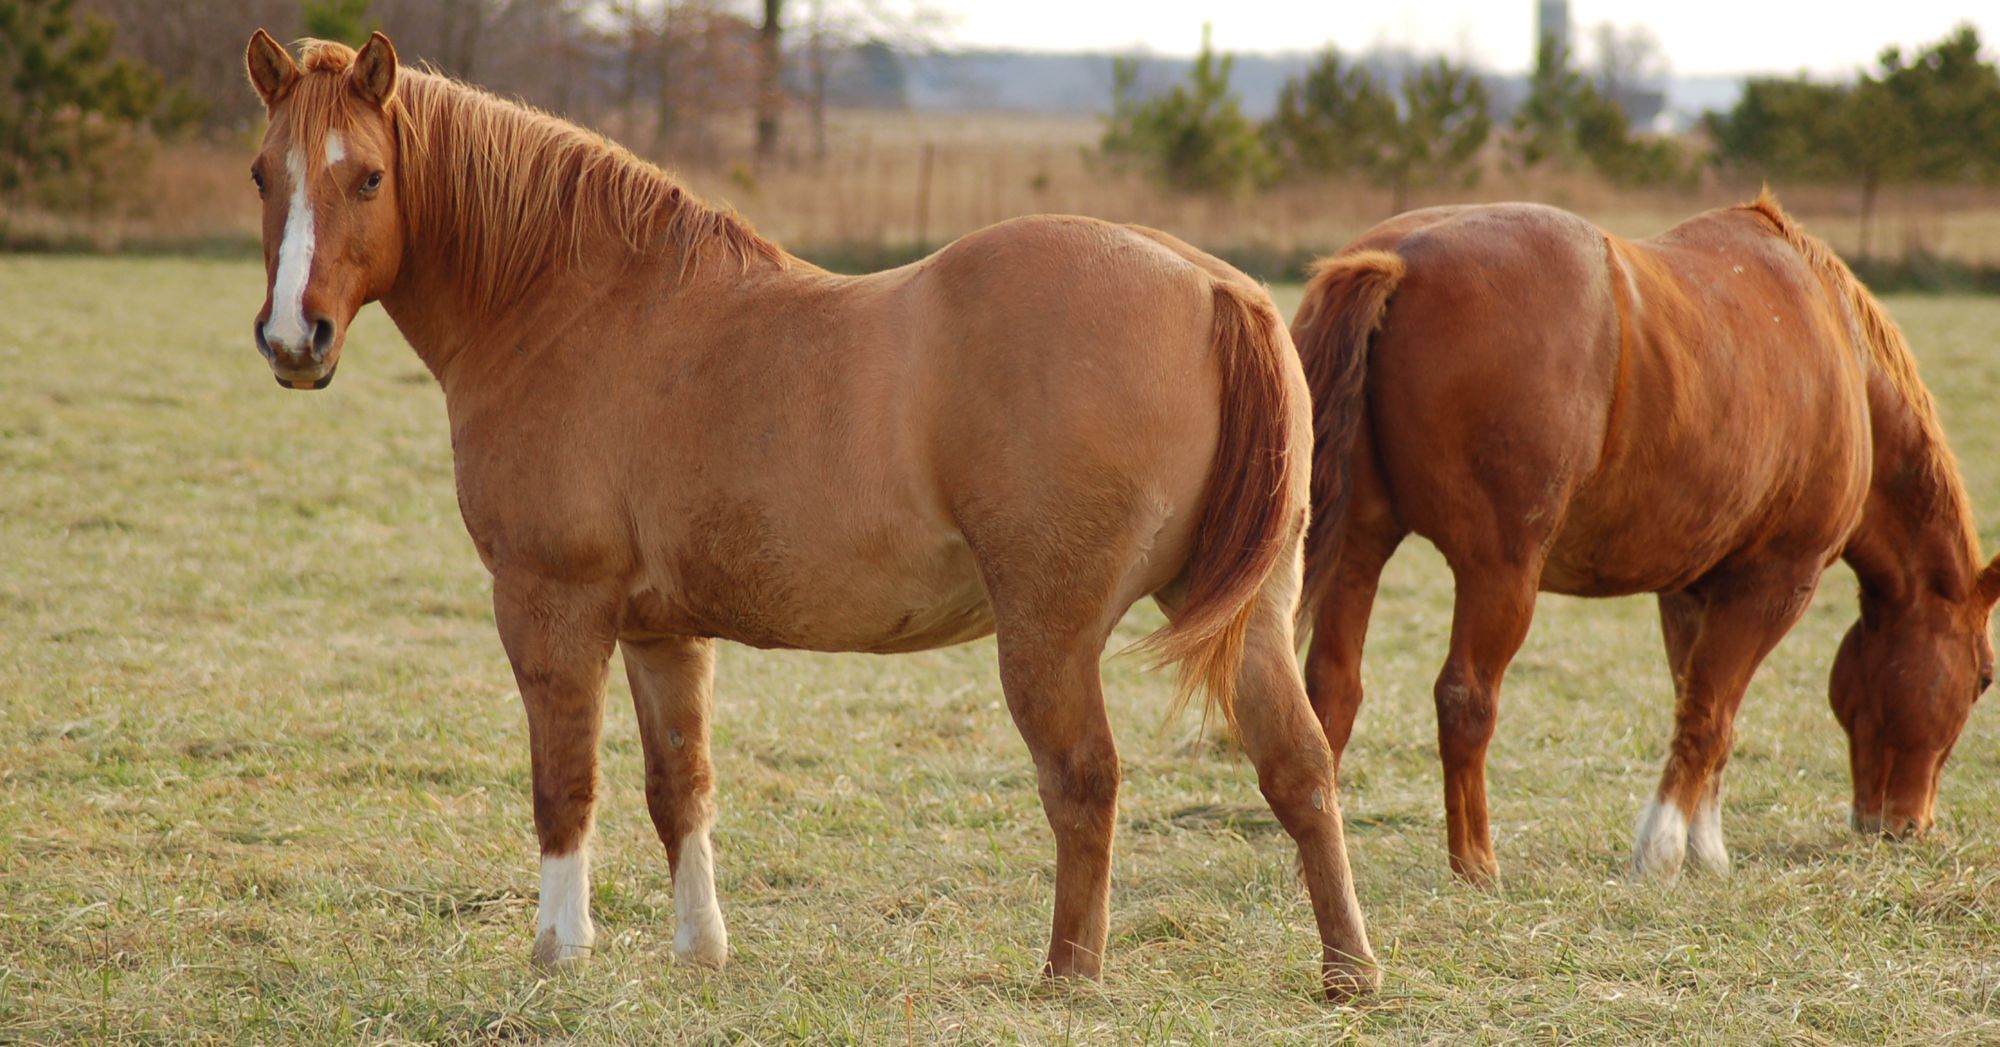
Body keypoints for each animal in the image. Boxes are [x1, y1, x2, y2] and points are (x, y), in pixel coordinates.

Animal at [242, 30, 1384, 999]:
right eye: (264, 174)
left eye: (368, 176)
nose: (293, 340)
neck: (578, 306)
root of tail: (1211, 284)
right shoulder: (661, 630)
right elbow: (680, 786)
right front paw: (699, 950)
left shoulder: (549, 606)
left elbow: (564, 784)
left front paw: (558, 950)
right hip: (1245, 611)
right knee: (1299, 767)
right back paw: (1346, 972)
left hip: (1049, 631)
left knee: (1083, 779)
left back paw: (1069, 976)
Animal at [1288, 193, 1992, 883]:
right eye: (1985, 679)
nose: (1904, 825)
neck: (1835, 340)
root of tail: (1399, 260)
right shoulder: (1775, 584)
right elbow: (1712, 717)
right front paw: (1663, 848)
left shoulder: (1691, 591)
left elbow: (1697, 706)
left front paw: (1704, 847)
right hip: (1500, 574)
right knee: (1465, 698)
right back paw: (1477, 865)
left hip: (1357, 550)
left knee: (1332, 689)